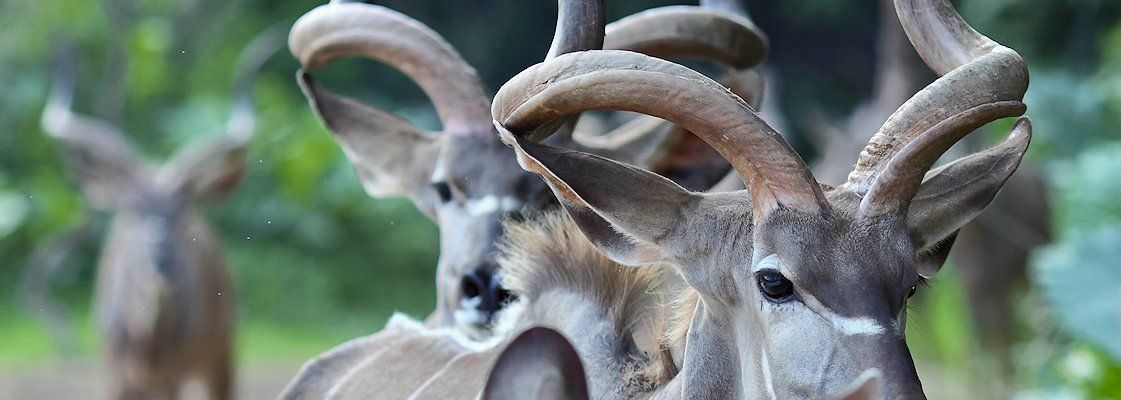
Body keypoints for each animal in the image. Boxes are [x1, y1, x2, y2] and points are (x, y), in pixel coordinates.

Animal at [42, 32, 280, 396]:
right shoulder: (114, 372)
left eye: (180, 213)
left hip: (222, 355)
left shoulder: (175, 375)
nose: (161, 263)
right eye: (131, 211)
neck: (146, 342)